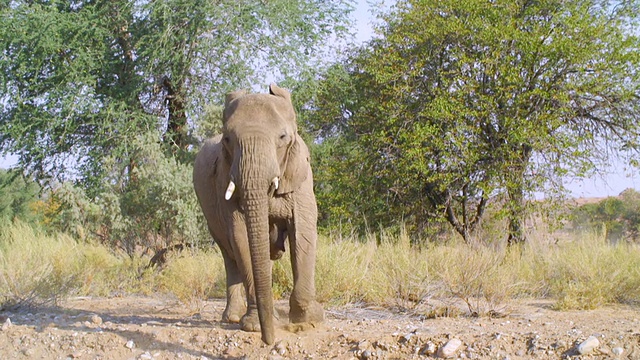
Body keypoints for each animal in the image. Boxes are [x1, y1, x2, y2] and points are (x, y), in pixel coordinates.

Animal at [191, 83, 322, 344]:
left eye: (283, 138)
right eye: (228, 139)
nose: (268, 341)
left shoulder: (301, 175)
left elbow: (302, 232)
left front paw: (308, 320)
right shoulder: (225, 177)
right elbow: (241, 237)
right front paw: (253, 326)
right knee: (229, 254)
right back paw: (232, 318)